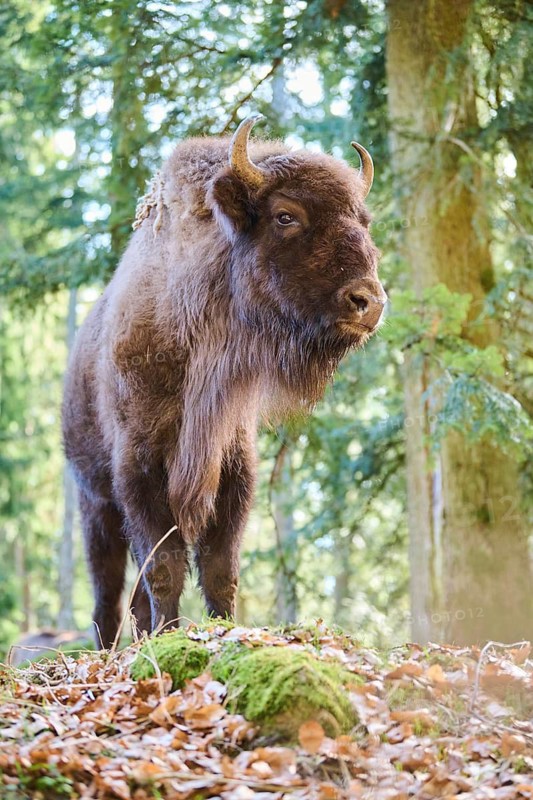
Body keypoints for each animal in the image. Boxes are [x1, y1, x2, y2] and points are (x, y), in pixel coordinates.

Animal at [62, 115, 386, 647]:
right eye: (285, 215)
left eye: (363, 221)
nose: (370, 301)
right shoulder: (139, 468)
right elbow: (165, 568)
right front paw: (172, 637)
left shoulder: (232, 463)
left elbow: (219, 568)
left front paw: (221, 632)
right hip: (95, 504)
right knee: (106, 595)